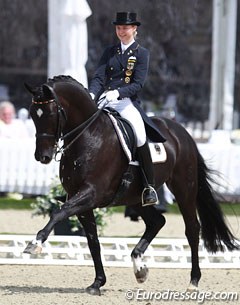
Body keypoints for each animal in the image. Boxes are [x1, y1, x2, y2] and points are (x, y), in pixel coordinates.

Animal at [23, 75, 238, 294]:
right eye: (33, 114)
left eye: (50, 113)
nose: (43, 156)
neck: (89, 135)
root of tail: (182, 132)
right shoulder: (80, 199)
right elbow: (93, 241)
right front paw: (97, 282)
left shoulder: (91, 193)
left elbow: (58, 212)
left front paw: (35, 243)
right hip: (135, 197)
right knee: (157, 221)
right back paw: (139, 268)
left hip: (184, 188)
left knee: (192, 229)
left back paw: (193, 281)